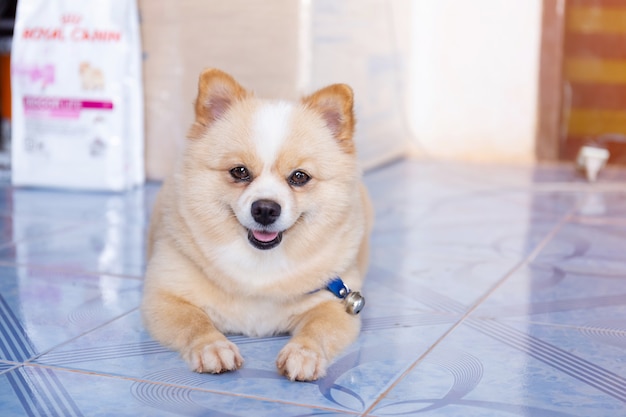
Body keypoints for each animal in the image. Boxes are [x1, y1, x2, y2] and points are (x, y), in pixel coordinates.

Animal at [141, 68, 370, 380]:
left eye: (299, 177)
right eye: (239, 172)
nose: (265, 209)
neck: (260, 265)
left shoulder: (335, 305)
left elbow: (317, 329)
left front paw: (304, 353)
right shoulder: (164, 299)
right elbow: (195, 322)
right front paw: (212, 347)